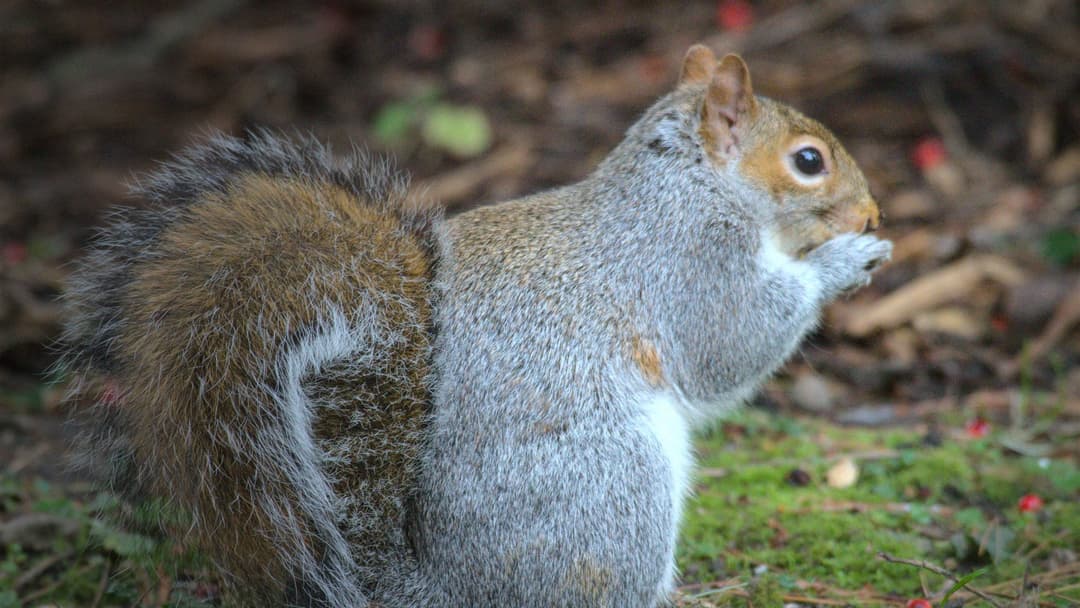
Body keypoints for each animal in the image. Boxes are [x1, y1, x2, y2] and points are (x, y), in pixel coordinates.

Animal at [61, 45, 892, 608]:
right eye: (809, 161)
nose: (874, 213)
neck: (685, 185)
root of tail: (445, 591)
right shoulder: (689, 262)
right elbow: (730, 343)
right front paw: (843, 262)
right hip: (615, 487)